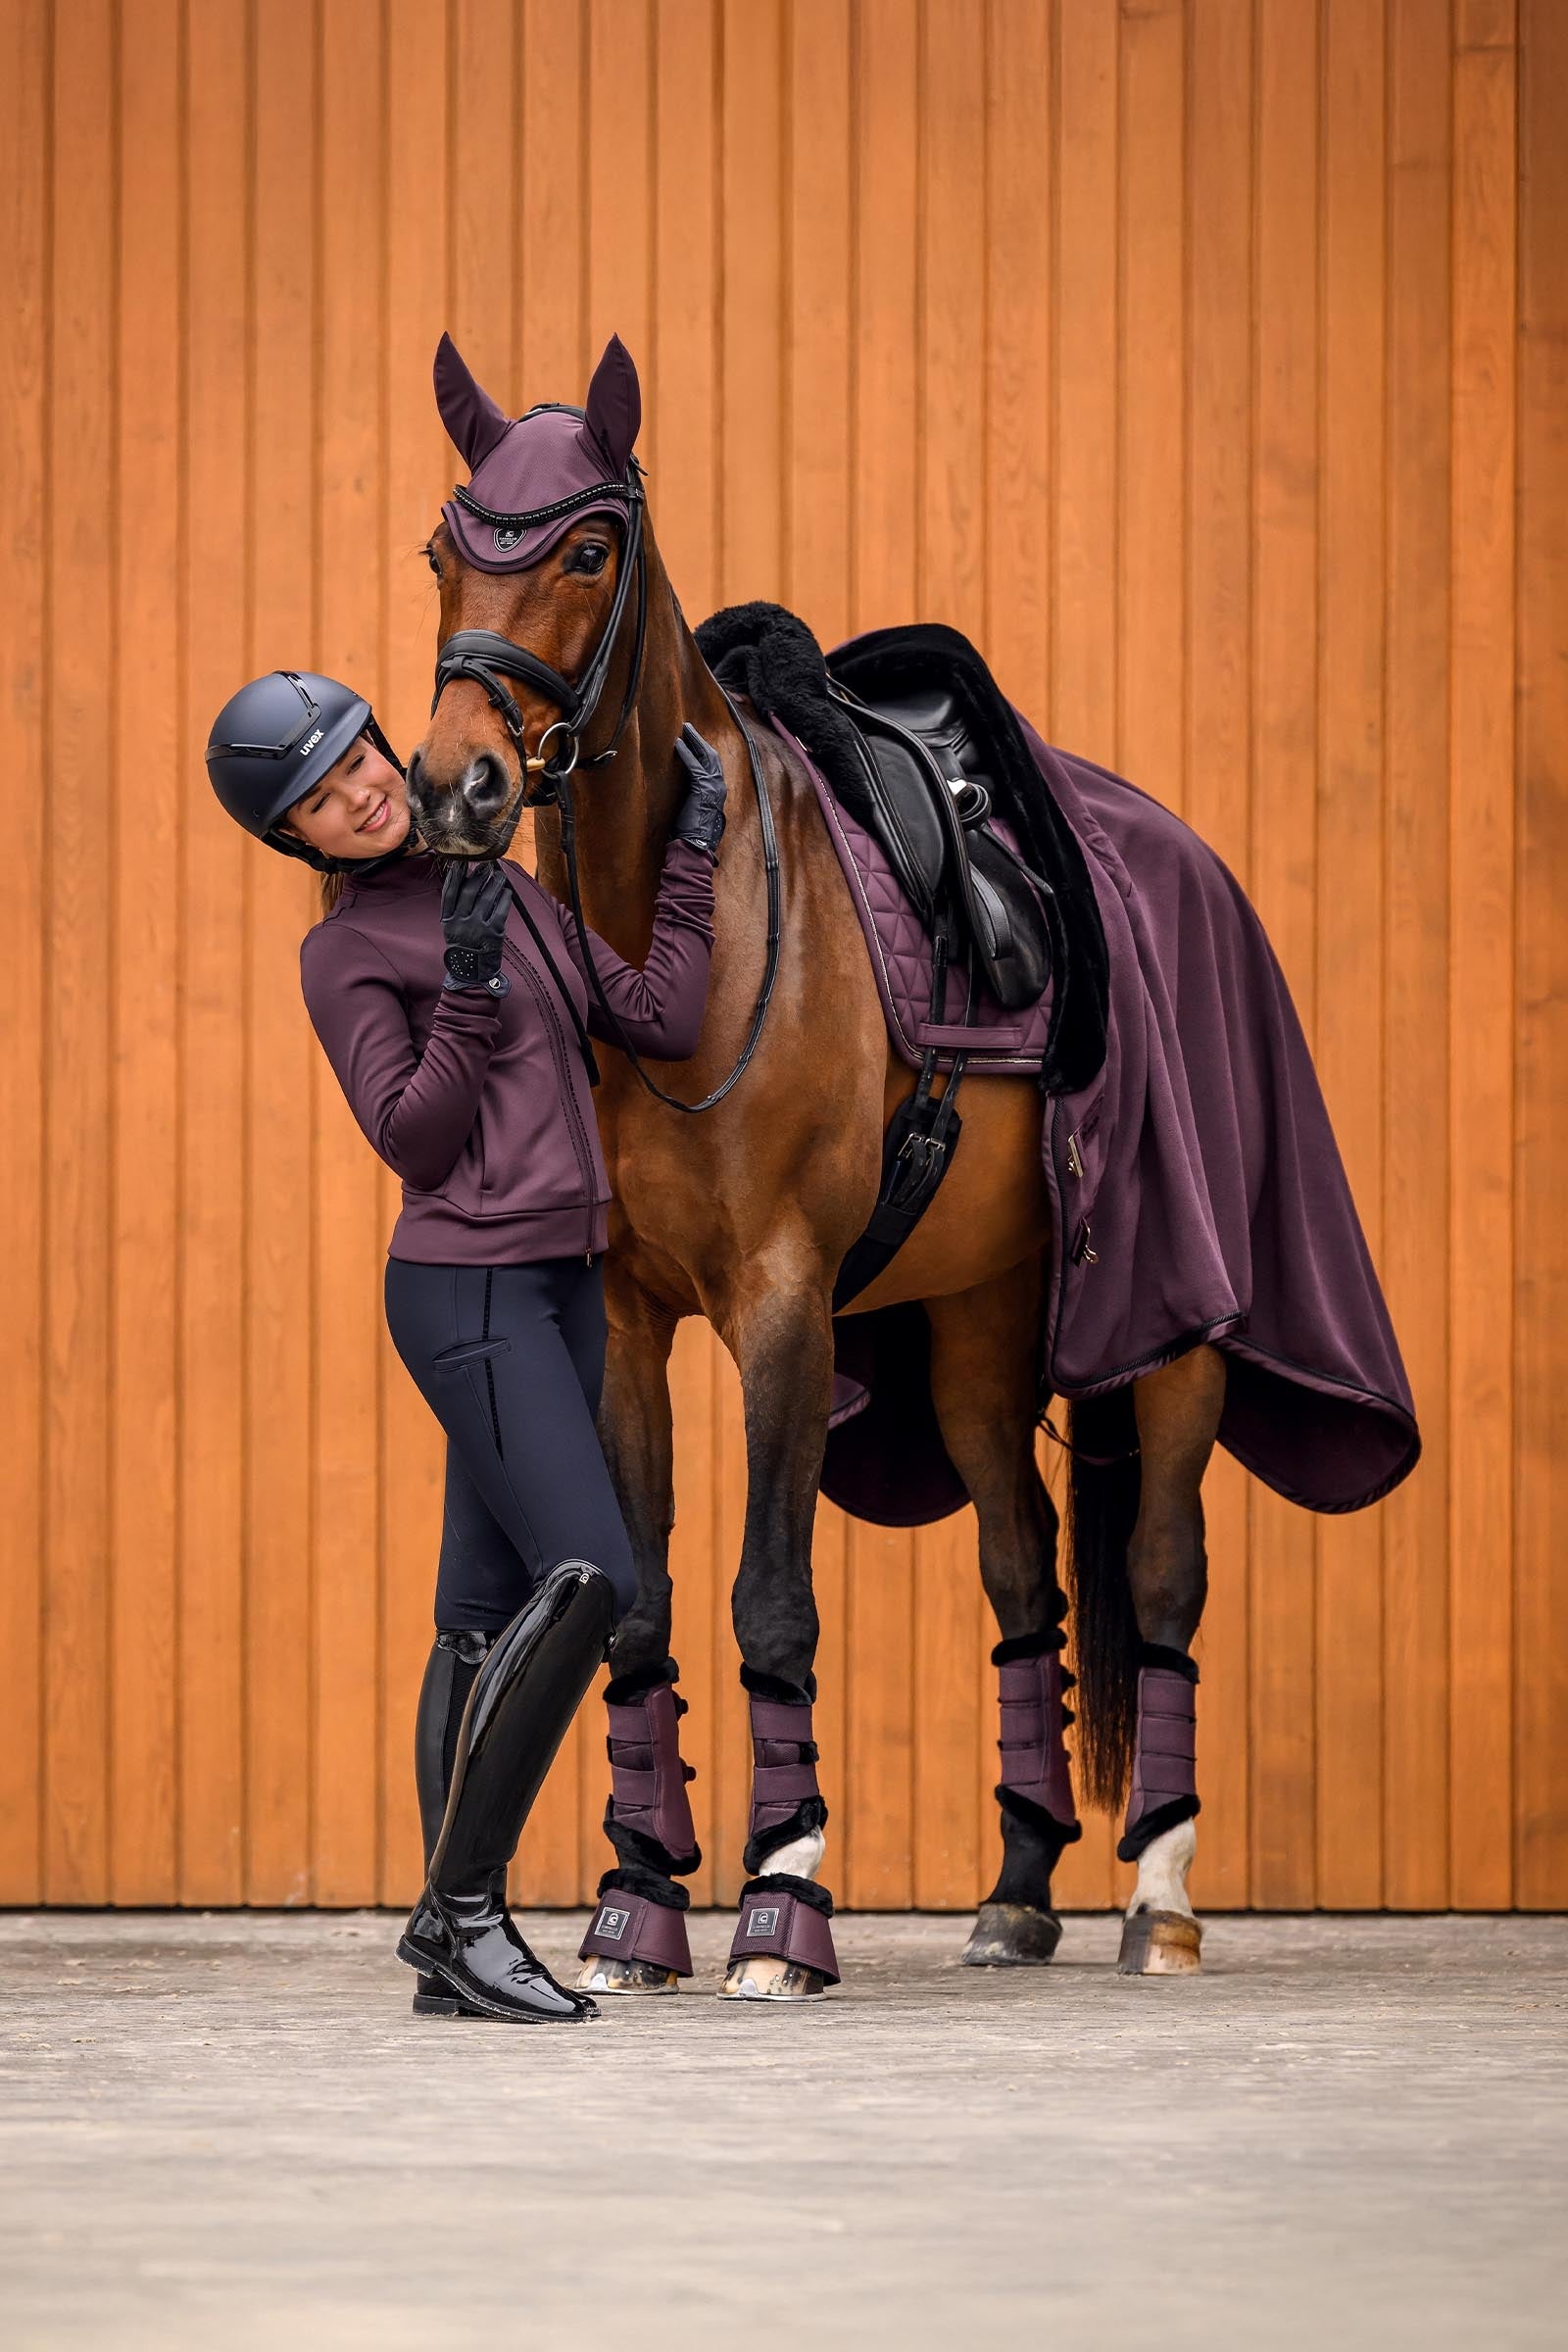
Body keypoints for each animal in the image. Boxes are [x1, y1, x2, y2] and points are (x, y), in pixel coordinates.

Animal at [404, 332, 1417, 1998]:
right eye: (444, 551)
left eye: (588, 548)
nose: (457, 786)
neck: (689, 939)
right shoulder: (626, 1319)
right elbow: (636, 1604)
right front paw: (637, 1907)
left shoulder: (783, 1306)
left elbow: (769, 1597)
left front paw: (781, 1904)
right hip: (978, 1330)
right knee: (1024, 1581)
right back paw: (1015, 1893)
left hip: (1180, 1335)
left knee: (1160, 1577)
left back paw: (1158, 1900)